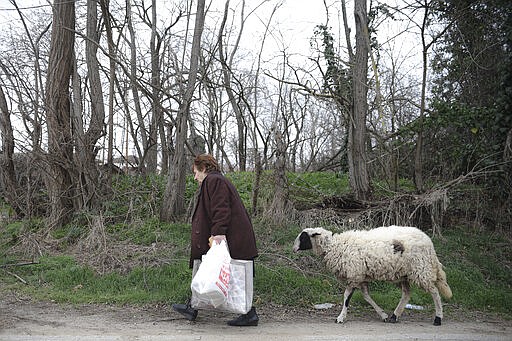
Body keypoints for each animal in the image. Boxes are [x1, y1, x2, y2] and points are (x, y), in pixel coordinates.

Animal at [292, 224, 452, 326]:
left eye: (303, 237)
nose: (293, 248)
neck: (334, 247)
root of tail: (429, 242)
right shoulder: (360, 277)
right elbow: (366, 297)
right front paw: (383, 315)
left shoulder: (354, 275)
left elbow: (346, 297)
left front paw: (340, 318)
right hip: (403, 274)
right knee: (407, 294)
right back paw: (394, 316)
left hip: (421, 269)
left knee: (434, 292)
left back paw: (438, 318)